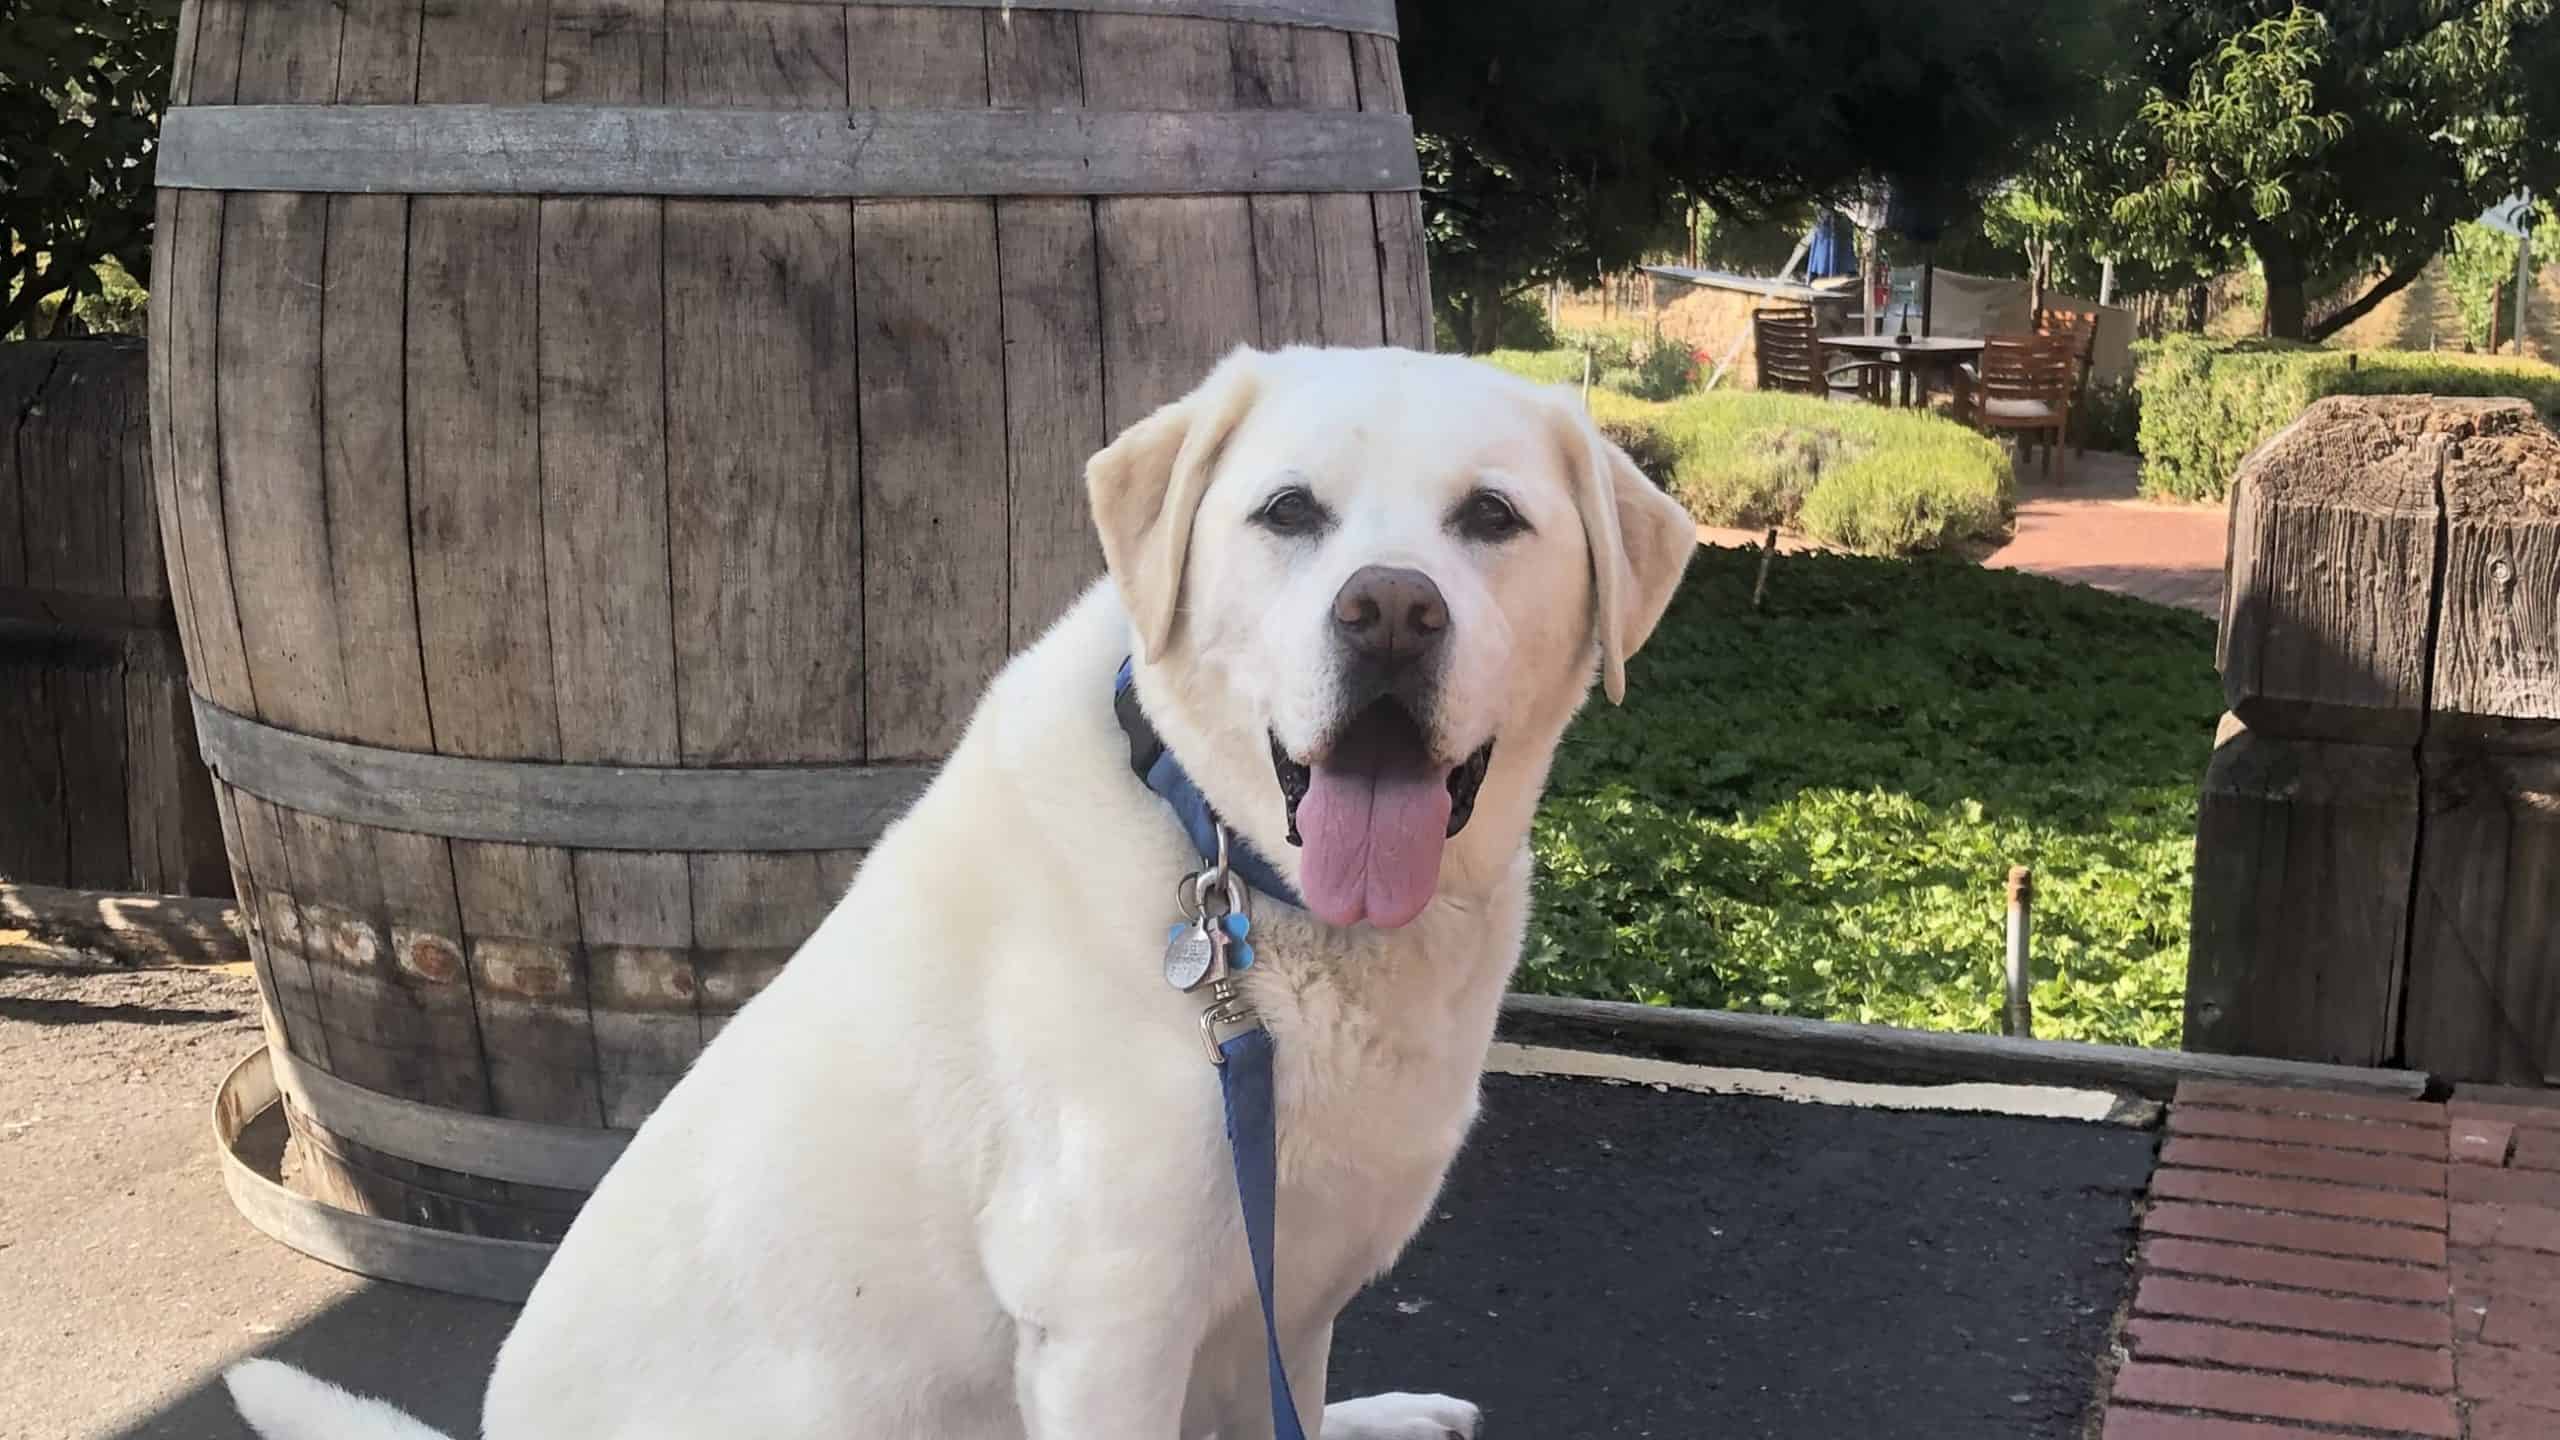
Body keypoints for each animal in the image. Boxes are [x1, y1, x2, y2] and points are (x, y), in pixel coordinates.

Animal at [225, 345, 1699, 1434]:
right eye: (1289, 512)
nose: (1389, 611)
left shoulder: (1274, 1299)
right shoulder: (1110, 1327)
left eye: (1491, 519)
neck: (1243, 891)